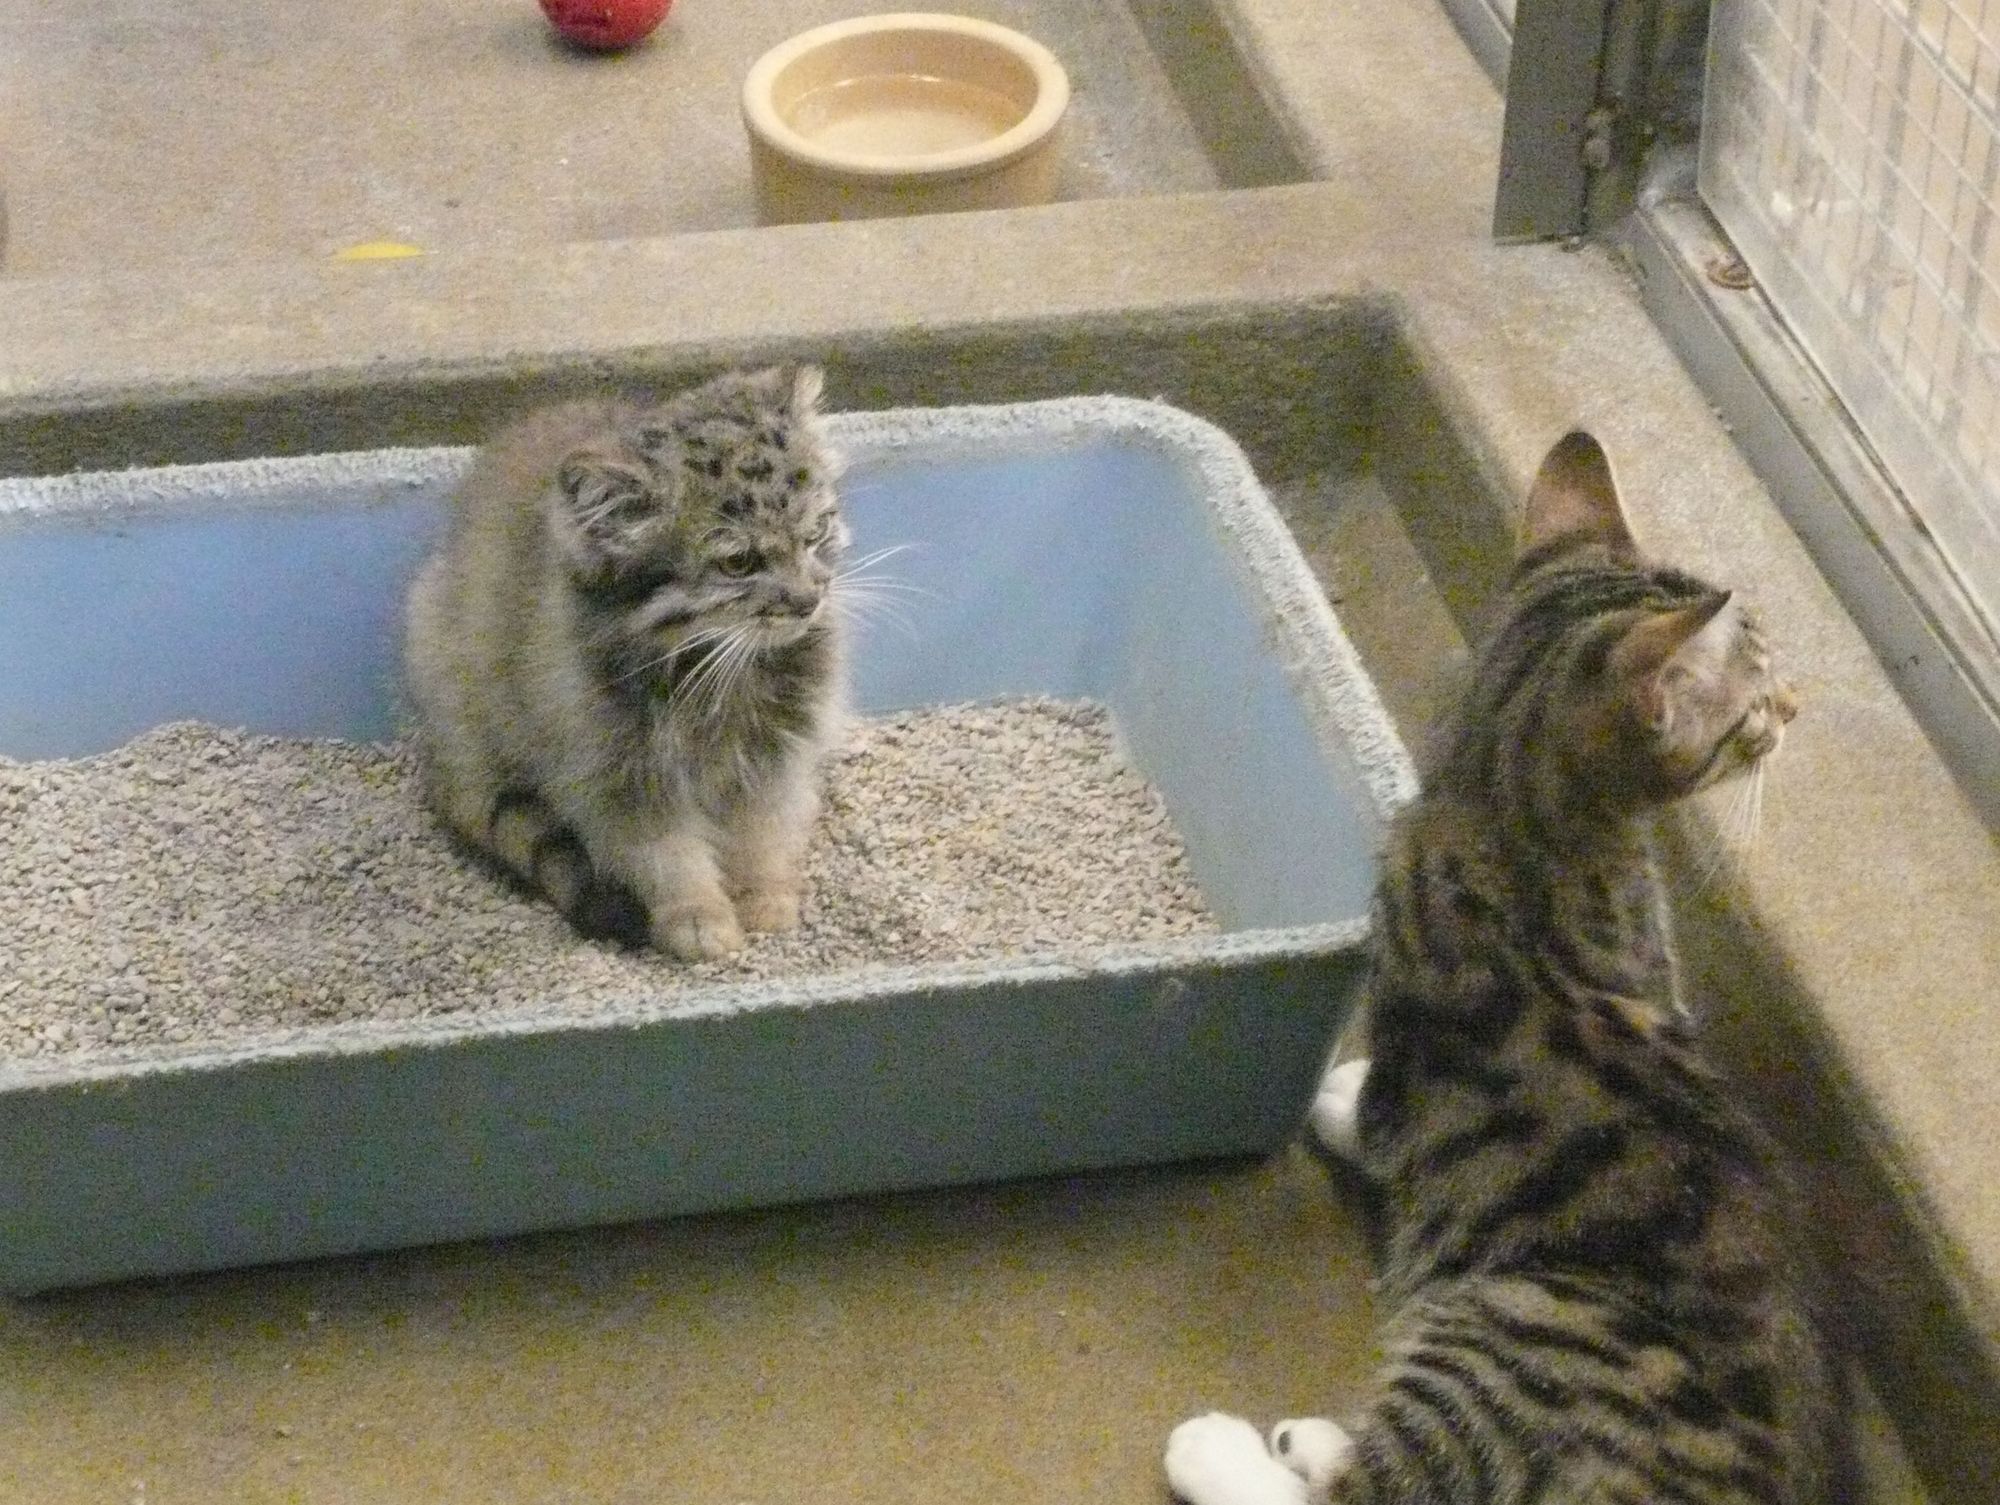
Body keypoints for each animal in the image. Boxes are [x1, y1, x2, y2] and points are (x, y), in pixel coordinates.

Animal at [402, 362, 848, 964]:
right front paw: (699, 920)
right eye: (738, 563)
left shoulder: (775, 757)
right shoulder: (617, 778)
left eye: (816, 532)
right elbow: (666, 859)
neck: (712, 666)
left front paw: (765, 899)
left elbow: (763, 835)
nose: (807, 601)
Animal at [1168, 432, 1840, 1505]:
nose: (1795, 706)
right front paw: (1345, 1097)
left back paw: (1257, 1443)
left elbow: (1386, 1120)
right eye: (1753, 704)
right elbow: (1386, 1118)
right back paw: (1256, 1443)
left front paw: (1340, 1095)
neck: (1503, 811)